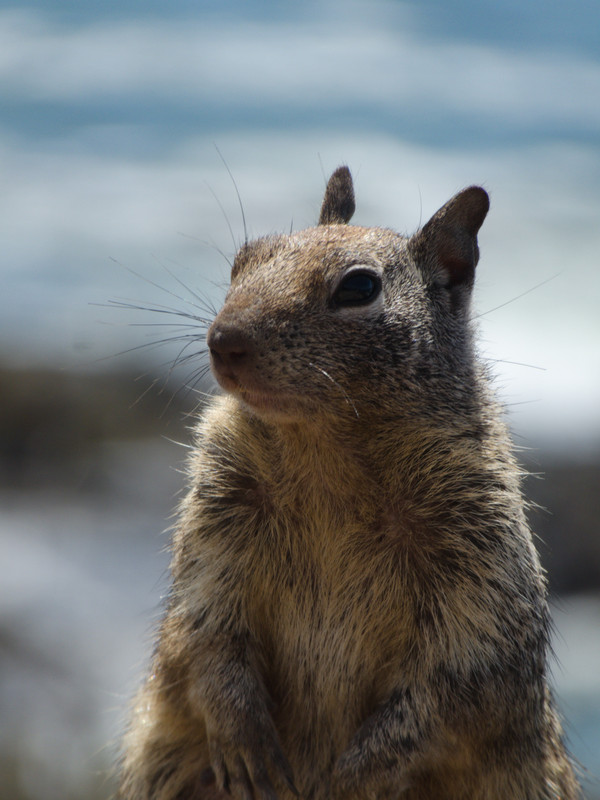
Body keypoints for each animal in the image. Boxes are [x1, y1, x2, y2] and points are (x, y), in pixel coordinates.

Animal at [118, 166, 580, 796]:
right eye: (243, 259)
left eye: (360, 288)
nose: (224, 341)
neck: (325, 455)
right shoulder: (217, 522)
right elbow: (205, 630)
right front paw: (244, 742)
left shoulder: (479, 582)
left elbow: (444, 696)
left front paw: (351, 779)